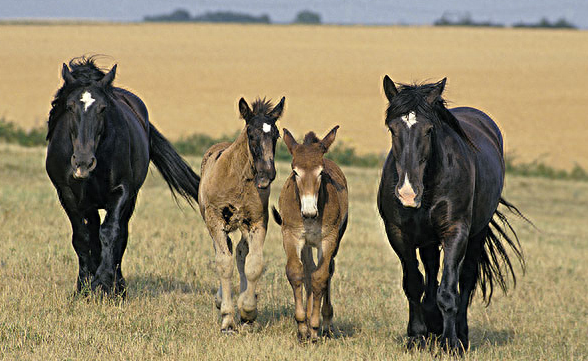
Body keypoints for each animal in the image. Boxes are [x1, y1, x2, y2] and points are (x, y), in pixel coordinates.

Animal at [47, 57, 199, 296]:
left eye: (102, 108)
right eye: (69, 107)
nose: (83, 162)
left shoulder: (121, 192)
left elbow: (111, 233)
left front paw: (104, 284)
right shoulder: (67, 194)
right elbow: (82, 237)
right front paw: (84, 287)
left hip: (130, 199)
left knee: (120, 234)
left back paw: (118, 285)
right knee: (92, 232)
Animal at [199, 96, 286, 332]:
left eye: (276, 135)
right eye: (251, 134)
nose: (266, 174)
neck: (238, 178)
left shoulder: (257, 222)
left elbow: (253, 265)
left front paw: (248, 310)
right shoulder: (215, 221)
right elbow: (224, 264)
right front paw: (228, 319)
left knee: (239, 252)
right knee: (226, 252)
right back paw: (222, 300)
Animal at [272, 126, 346, 340]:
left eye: (321, 172)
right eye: (295, 171)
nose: (309, 212)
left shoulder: (328, 239)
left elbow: (320, 277)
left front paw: (313, 328)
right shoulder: (292, 236)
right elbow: (296, 273)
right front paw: (302, 326)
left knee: (327, 270)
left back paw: (326, 322)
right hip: (305, 244)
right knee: (308, 270)